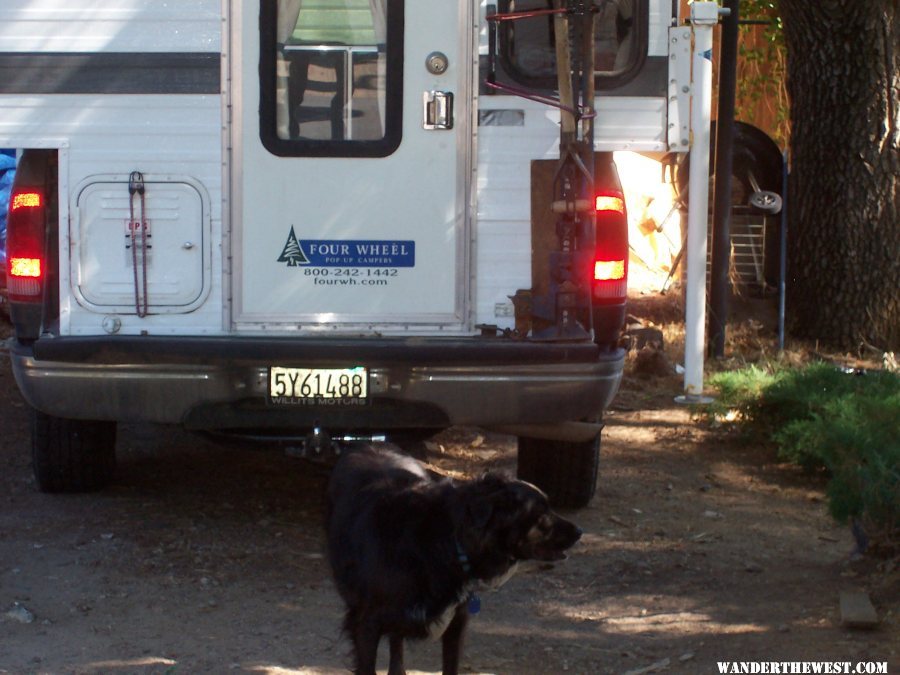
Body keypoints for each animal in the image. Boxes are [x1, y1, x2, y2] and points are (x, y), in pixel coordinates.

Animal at [326, 446, 584, 672]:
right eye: (542, 514)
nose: (581, 531)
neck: (448, 540)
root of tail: (368, 444)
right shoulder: (366, 625)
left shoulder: (456, 623)